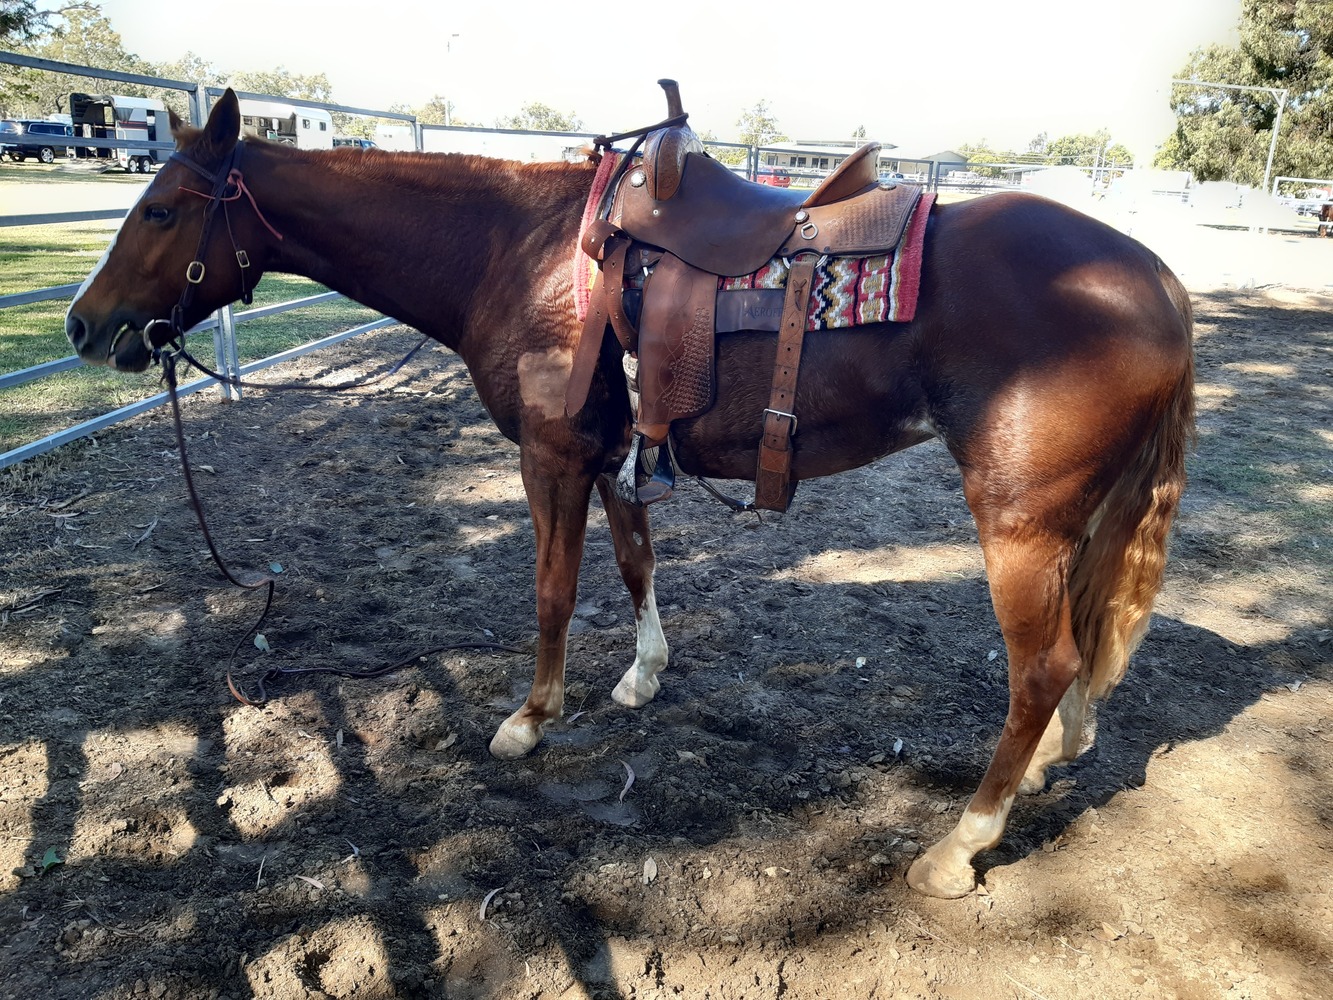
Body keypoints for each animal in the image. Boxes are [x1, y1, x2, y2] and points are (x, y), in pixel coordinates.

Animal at [64, 87, 1195, 899]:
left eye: (159, 209)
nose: (83, 325)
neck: (521, 255)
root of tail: (1156, 278)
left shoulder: (552, 456)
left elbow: (554, 592)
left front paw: (530, 719)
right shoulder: (615, 453)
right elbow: (632, 560)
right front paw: (643, 676)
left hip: (1019, 521)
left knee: (1042, 665)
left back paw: (958, 845)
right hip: (1077, 522)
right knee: (1085, 640)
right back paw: (1053, 761)